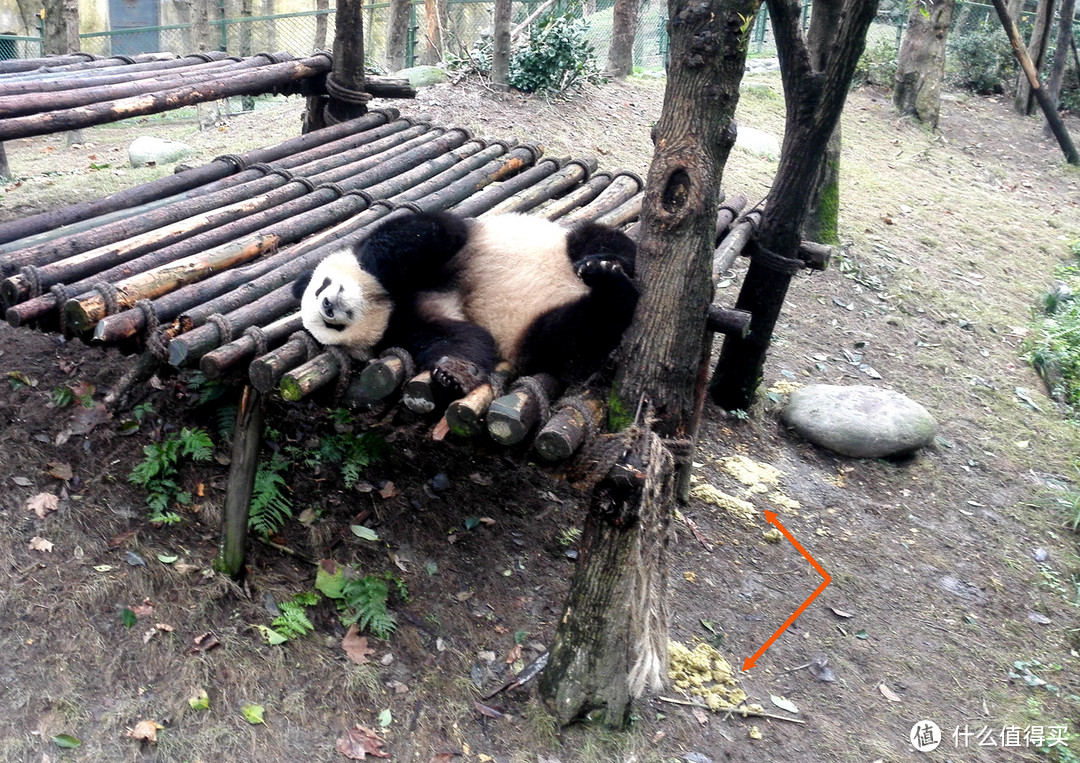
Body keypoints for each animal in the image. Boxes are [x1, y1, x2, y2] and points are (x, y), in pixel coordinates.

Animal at [291, 209, 635, 395]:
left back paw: (601, 265)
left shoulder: (437, 246)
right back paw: (611, 289)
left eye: (320, 287)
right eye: (330, 327)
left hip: (562, 244)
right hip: (539, 335)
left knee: (598, 238)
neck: (385, 302)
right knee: (575, 335)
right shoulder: (404, 325)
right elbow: (464, 339)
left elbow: (431, 231)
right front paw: (452, 375)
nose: (327, 305)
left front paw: (373, 264)